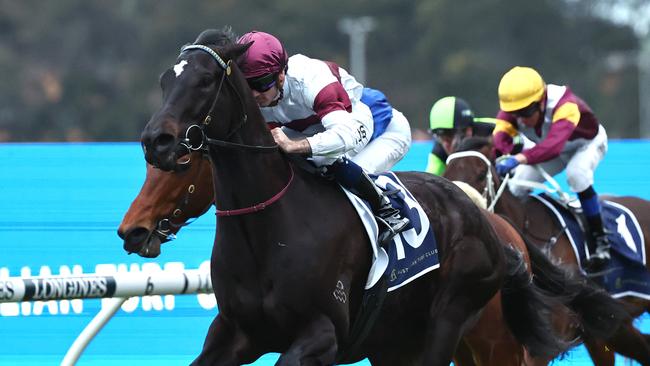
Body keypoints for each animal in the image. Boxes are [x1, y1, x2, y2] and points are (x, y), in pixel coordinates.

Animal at [137, 29, 568, 366]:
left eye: (206, 80)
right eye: (164, 82)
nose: (156, 141)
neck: (267, 227)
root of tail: (486, 220)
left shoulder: (323, 333)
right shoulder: (234, 333)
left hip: (456, 322)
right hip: (395, 343)